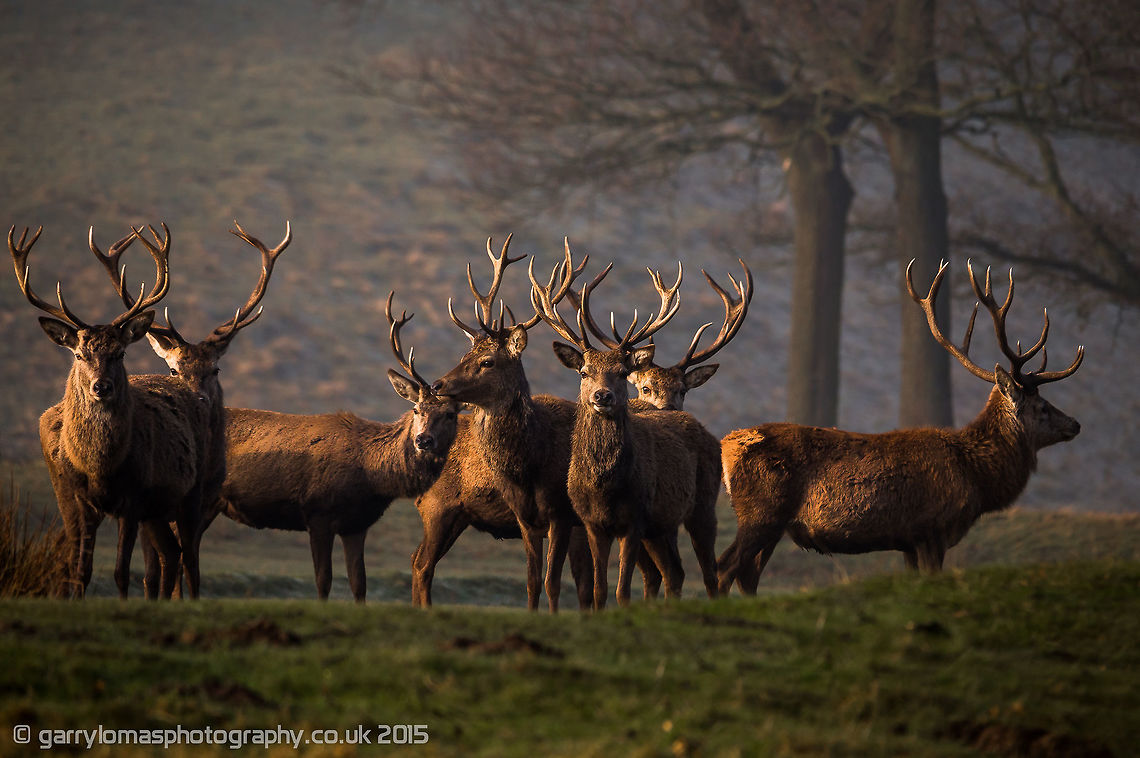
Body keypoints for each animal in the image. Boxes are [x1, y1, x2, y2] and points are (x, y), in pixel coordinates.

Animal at [10, 223, 210, 599]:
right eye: (79, 354)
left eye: (120, 353)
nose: (100, 387)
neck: (100, 467)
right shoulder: (82, 502)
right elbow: (81, 569)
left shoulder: (132, 499)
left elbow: (120, 571)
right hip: (154, 510)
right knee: (172, 552)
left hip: (194, 490)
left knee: (190, 557)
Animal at [95, 221, 291, 598]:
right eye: (173, 370)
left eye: (215, 369)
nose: (196, 399)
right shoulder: (159, 505)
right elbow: (160, 567)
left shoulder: (204, 504)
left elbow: (190, 565)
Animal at [213, 292, 460, 602]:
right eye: (416, 409)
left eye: (451, 414)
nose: (423, 440)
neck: (371, 477)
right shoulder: (317, 512)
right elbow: (324, 580)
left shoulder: (357, 524)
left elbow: (359, 583)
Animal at [531, 256, 722, 609]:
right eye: (584, 371)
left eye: (622, 372)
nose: (601, 396)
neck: (606, 487)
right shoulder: (593, 523)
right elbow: (598, 589)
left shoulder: (635, 519)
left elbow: (621, 591)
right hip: (660, 527)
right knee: (674, 572)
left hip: (703, 505)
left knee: (710, 573)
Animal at [717, 260, 1084, 593]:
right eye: (1042, 407)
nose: (1076, 424)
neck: (976, 477)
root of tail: (728, 445)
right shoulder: (932, 529)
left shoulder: (908, 541)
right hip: (761, 513)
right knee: (725, 567)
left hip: (772, 523)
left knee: (747, 575)